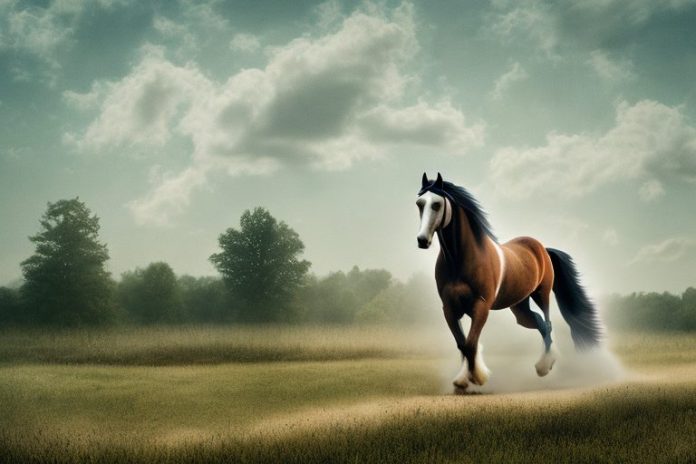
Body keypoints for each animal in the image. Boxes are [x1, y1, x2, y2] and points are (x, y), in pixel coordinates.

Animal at [416, 173, 603, 390]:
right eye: (419, 203)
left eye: (437, 204)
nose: (422, 240)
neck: (459, 260)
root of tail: (542, 248)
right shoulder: (449, 308)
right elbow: (462, 344)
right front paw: (462, 380)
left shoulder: (481, 306)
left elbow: (470, 343)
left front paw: (477, 377)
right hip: (520, 308)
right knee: (539, 324)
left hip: (542, 294)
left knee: (547, 324)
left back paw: (544, 367)